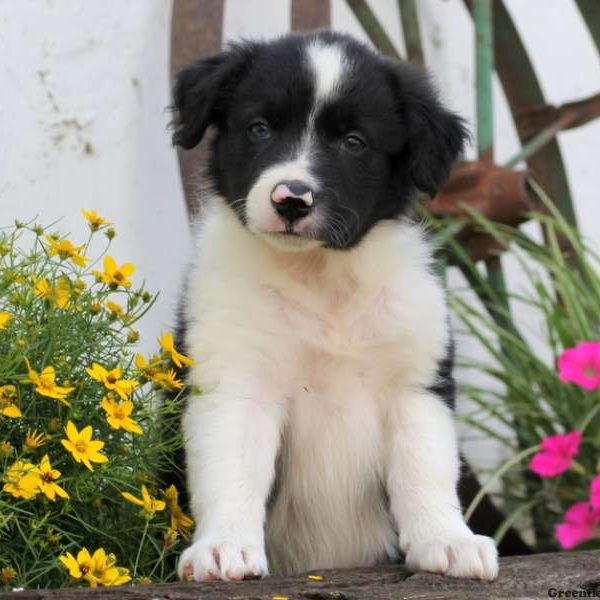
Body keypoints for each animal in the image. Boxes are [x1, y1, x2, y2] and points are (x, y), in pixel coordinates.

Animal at [169, 30, 496, 584]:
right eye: (259, 128)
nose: (291, 199)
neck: (322, 279)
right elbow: (231, 468)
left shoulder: (415, 384)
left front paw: (448, 541)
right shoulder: (236, 381)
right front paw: (223, 547)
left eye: (354, 143)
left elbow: (425, 467)